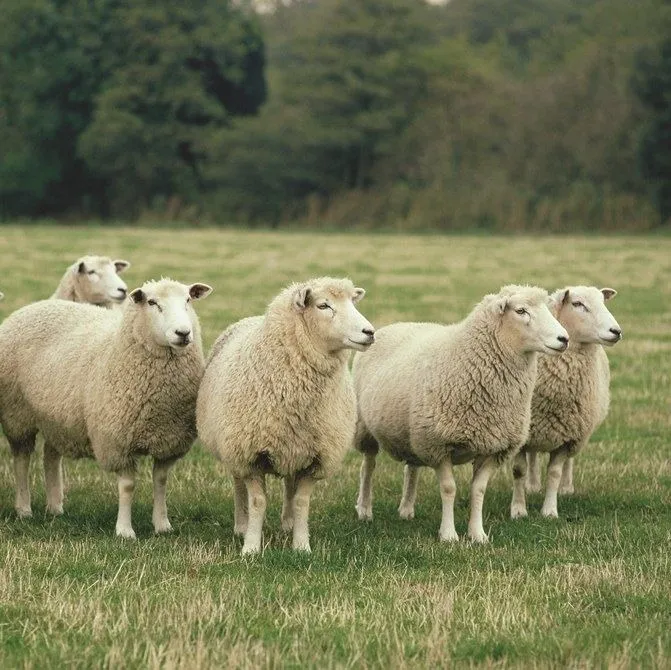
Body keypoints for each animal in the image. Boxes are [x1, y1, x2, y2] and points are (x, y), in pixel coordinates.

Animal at [0, 278, 212, 537]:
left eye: (188, 300)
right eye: (152, 303)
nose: (183, 333)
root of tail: (32, 306)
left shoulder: (169, 440)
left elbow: (161, 481)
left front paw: (162, 525)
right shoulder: (118, 441)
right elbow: (128, 486)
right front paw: (124, 530)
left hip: (57, 417)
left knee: (50, 455)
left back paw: (55, 507)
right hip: (17, 414)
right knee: (21, 459)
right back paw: (24, 509)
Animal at [197, 277, 375, 555]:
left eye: (352, 303)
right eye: (323, 305)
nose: (370, 332)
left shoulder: (316, 456)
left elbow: (301, 501)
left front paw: (301, 545)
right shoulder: (249, 455)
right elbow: (257, 502)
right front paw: (251, 547)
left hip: (294, 446)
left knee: (289, 484)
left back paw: (288, 524)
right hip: (232, 446)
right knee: (238, 486)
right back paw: (241, 525)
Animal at [352, 285, 569, 543]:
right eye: (520, 311)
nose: (564, 339)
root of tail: (393, 326)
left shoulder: (492, 447)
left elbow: (478, 490)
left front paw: (478, 534)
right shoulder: (438, 443)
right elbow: (449, 489)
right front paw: (448, 535)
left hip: (414, 432)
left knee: (411, 467)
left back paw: (406, 510)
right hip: (366, 427)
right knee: (368, 466)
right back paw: (364, 510)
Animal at [510, 286, 621, 520]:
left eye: (603, 301)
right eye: (578, 304)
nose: (616, 331)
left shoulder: (567, 434)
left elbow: (554, 472)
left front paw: (550, 510)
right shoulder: (524, 433)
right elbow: (519, 471)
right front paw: (518, 509)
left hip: (580, 429)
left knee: (569, 460)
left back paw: (566, 488)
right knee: (533, 456)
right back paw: (532, 485)